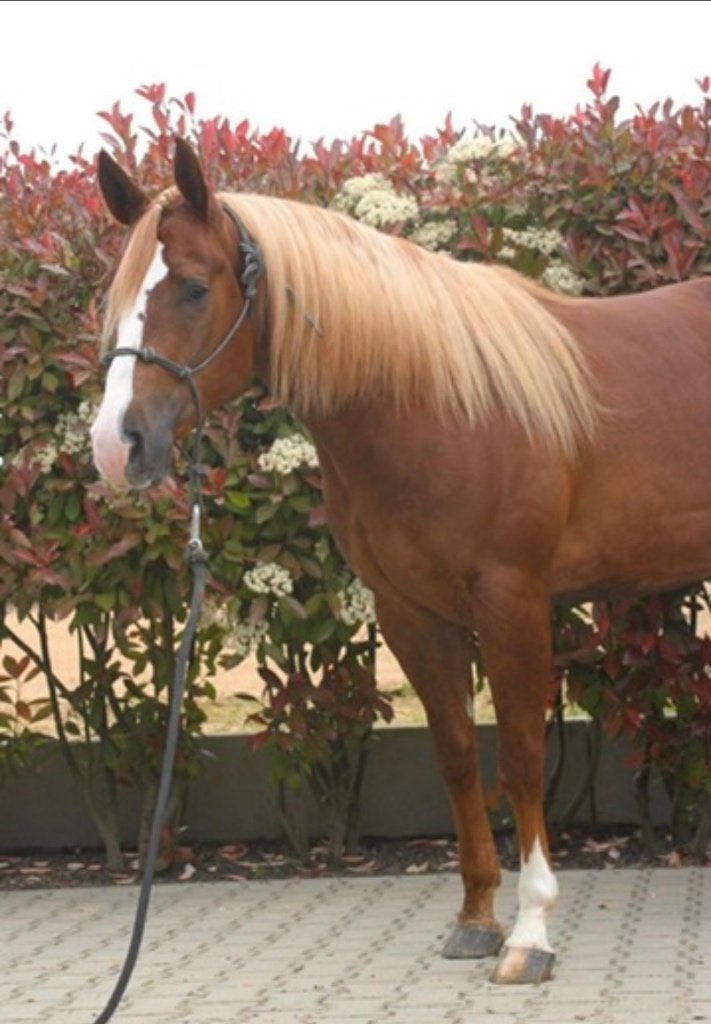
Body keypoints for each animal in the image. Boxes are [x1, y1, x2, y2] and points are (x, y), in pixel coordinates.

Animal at [91, 138, 711, 985]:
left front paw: (530, 934)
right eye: (117, 298)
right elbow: (455, 756)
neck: (438, 401)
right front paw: (477, 918)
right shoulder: (410, 612)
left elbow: (521, 757)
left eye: (191, 288)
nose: (115, 447)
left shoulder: (511, 601)